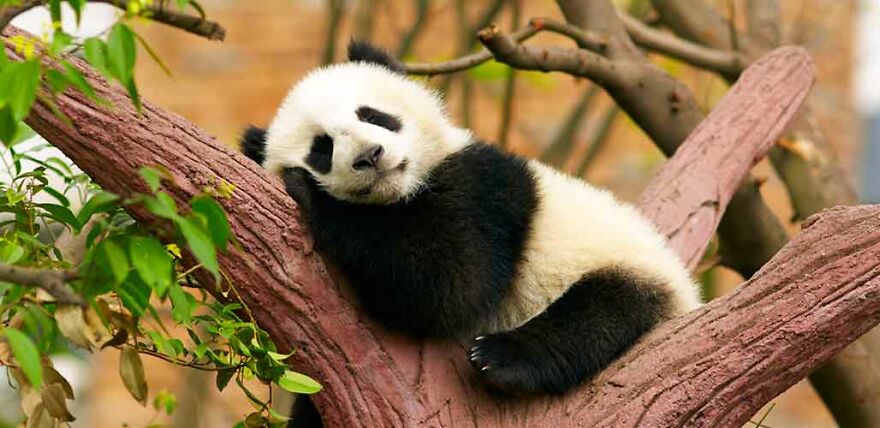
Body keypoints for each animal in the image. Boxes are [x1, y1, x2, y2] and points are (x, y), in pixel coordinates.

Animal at [241, 41, 701, 399]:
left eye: (372, 115)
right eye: (322, 148)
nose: (370, 156)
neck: (404, 192)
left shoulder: (486, 190)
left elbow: (452, 281)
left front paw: (310, 192)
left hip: (624, 263)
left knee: (599, 313)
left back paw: (501, 358)